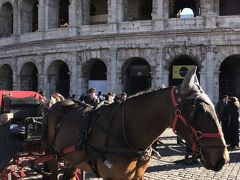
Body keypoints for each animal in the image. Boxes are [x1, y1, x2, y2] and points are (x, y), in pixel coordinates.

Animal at [42, 67, 229, 179]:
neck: (126, 133)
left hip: (71, 160)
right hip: (51, 157)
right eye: (196, 111)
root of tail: (55, 104)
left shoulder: (138, 175)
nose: (223, 159)